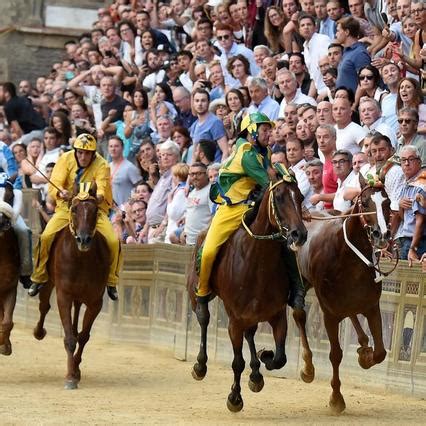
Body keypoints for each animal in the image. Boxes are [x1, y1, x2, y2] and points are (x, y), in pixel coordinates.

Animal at [33, 183, 110, 390]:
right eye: (74, 209)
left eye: (95, 210)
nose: (83, 239)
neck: (81, 259)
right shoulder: (64, 295)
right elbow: (69, 338)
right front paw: (69, 377)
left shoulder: (95, 301)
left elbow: (83, 336)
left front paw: (75, 370)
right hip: (49, 282)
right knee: (44, 306)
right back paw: (38, 332)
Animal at [186, 171, 312, 412]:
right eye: (279, 197)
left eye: (300, 197)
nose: (299, 234)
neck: (257, 261)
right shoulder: (235, 319)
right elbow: (237, 362)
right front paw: (235, 398)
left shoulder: (277, 315)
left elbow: (280, 358)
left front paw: (265, 356)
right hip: (197, 294)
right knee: (203, 317)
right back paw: (200, 365)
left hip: (252, 315)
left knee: (250, 334)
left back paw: (256, 374)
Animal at [296, 178, 392, 414]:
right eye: (365, 202)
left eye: (387, 202)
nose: (382, 235)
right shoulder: (329, 313)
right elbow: (335, 354)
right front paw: (336, 399)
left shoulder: (371, 306)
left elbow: (380, 352)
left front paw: (366, 356)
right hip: (302, 283)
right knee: (299, 316)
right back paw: (308, 368)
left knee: (351, 314)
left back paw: (364, 343)